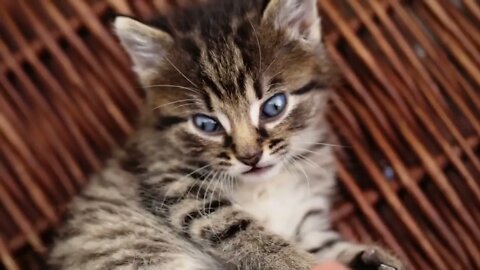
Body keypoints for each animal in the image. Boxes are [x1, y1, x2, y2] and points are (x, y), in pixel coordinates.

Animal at [48, 0, 404, 268]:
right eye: (207, 124)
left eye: (274, 106)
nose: (250, 157)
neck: (265, 184)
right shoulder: (175, 185)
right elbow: (235, 228)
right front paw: (299, 262)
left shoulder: (306, 221)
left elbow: (327, 245)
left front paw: (375, 259)